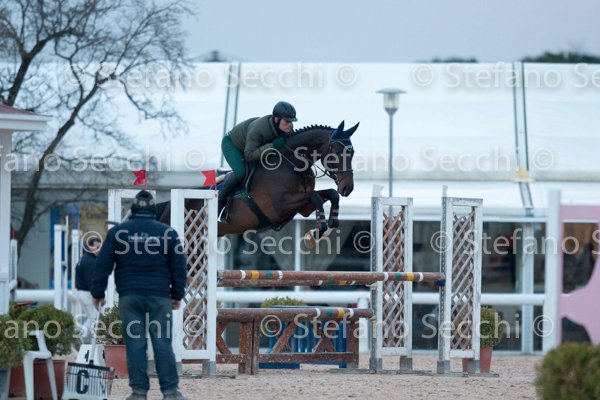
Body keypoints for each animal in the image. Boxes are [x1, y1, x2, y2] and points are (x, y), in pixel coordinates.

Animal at [158, 121, 358, 245]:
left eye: (352, 153)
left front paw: (329, 225)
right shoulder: (280, 206)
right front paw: (318, 231)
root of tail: (166, 207)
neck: (292, 163)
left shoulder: (303, 208)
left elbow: (330, 194)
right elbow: (316, 196)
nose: (348, 188)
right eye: (337, 152)